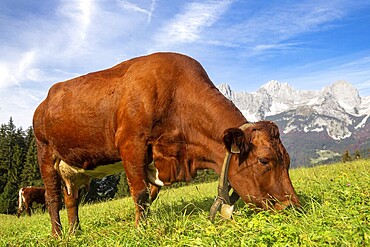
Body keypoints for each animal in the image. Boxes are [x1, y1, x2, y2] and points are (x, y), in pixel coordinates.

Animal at [34, 51, 300, 235]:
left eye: (287, 160)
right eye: (264, 160)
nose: (293, 206)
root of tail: (44, 102)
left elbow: (150, 195)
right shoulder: (131, 144)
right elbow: (140, 194)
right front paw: (141, 230)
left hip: (77, 170)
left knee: (72, 199)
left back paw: (75, 231)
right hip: (45, 154)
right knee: (53, 198)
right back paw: (57, 235)